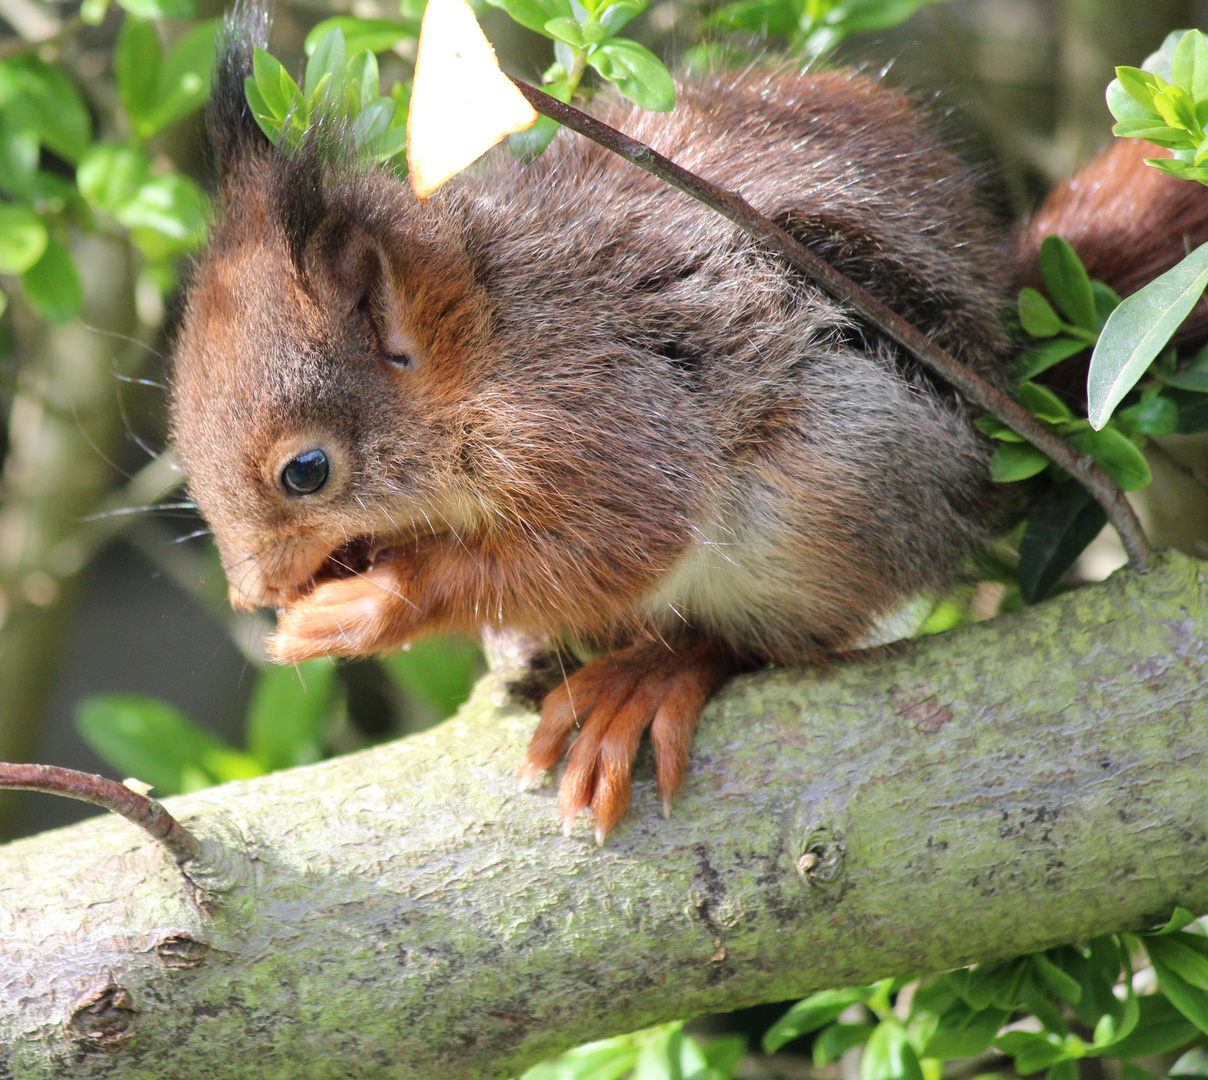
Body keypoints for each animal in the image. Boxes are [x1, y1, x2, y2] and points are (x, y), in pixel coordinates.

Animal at [165, 8, 1203, 845]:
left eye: (306, 471)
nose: (252, 592)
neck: (492, 341)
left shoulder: (606, 415)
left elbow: (616, 543)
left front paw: (377, 600)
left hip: (832, 491)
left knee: (773, 638)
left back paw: (654, 674)